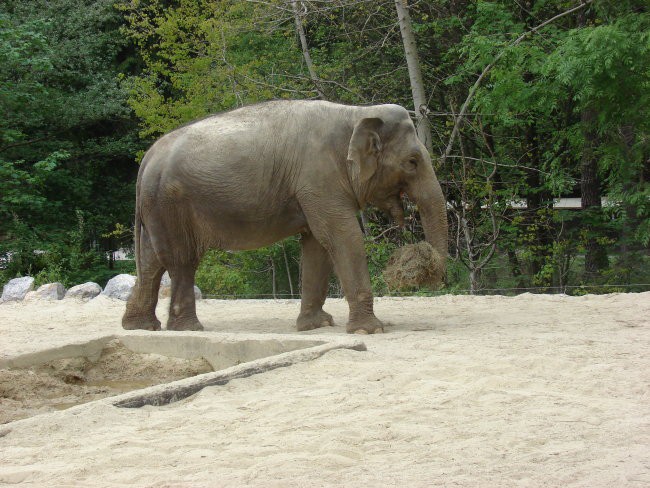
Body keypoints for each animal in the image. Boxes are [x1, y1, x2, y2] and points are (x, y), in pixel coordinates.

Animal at [121, 99, 446, 336]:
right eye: (412, 162)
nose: (427, 272)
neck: (356, 113)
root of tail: (147, 159)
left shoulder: (313, 188)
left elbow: (316, 245)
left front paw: (316, 325)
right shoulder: (319, 177)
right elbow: (342, 236)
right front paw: (369, 331)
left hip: (156, 208)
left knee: (151, 264)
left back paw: (140, 327)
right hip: (171, 204)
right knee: (182, 262)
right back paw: (188, 329)